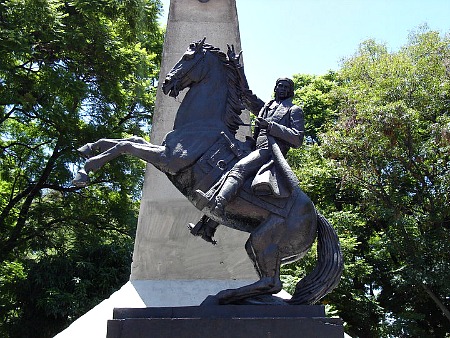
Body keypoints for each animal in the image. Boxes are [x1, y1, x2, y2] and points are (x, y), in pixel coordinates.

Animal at [72, 38, 342, 304]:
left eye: (188, 57)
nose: (167, 83)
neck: (201, 125)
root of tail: (315, 215)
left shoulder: (168, 159)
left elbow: (126, 145)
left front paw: (85, 171)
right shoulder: (163, 151)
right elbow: (130, 139)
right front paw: (90, 148)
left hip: (264, 241)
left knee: (272, 283)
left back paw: (224, 295)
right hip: (259, 244)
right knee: (269, 283)